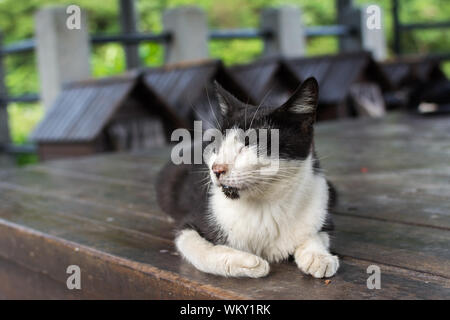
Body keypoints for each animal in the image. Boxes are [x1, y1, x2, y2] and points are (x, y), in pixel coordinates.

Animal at [157, 77, 338, 278]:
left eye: (250, 142)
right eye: (217, 145)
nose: (217, 168)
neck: (264, 206)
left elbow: (317, 233)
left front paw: (319, 257)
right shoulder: (190, 224)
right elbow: (199, 248)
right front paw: (247, 262)